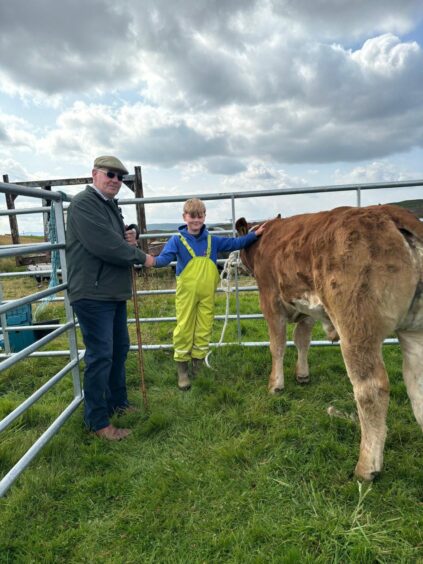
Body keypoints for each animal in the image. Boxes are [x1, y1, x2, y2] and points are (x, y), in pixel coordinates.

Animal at [235, 205, 423, 482]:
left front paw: (275, 384)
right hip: (414, 331)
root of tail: (391, 213)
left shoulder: (270, 300)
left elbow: (277, 345)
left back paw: (366, 467)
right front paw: (302, 375)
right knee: (416, 382)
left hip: (357, 328)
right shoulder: (307, 311)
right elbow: (302, 340)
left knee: (371, 389)